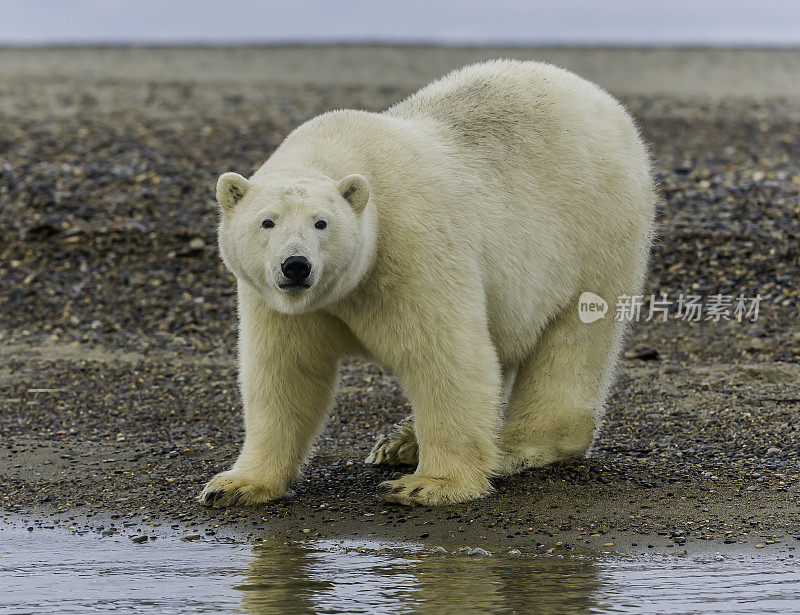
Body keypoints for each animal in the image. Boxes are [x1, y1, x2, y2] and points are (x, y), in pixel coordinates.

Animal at [197, 60, 652, 508]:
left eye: (320, 223)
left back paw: (512, 449)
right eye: (267, 222)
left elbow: (444, 356)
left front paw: (430, 484)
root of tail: (602, 99)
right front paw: (235, 485)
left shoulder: (412, 247)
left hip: (596, 232)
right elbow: (284, 373)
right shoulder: (277, 302)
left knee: (572, 343)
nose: (296, 266)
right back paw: (399, 442)